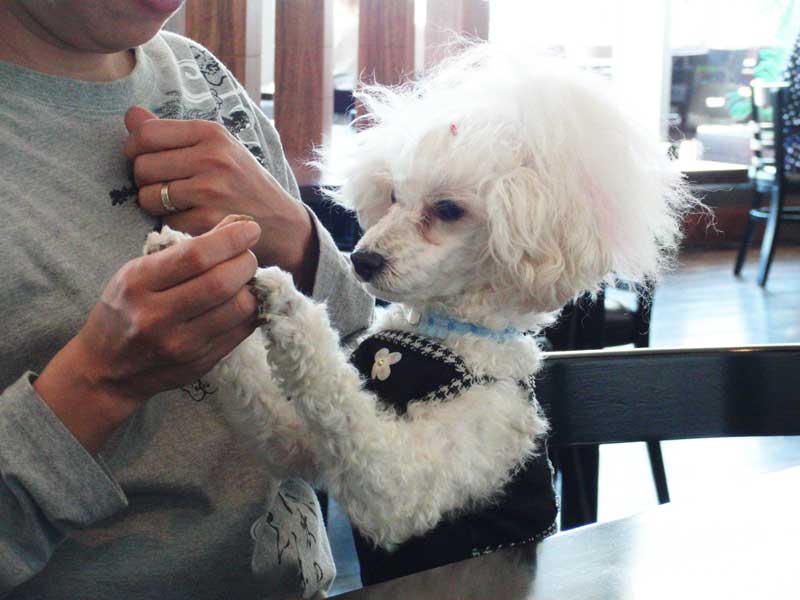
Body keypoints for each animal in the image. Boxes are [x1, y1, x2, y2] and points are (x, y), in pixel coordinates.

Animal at [144, 43, 695, 584]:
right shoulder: (300, 438)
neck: (440, 334)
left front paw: (287, 299)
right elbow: (262, 388)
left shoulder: (405, 481)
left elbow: (340, 400)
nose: (362, 259)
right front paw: (180, 256)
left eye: (448, 209)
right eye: (392, 196)